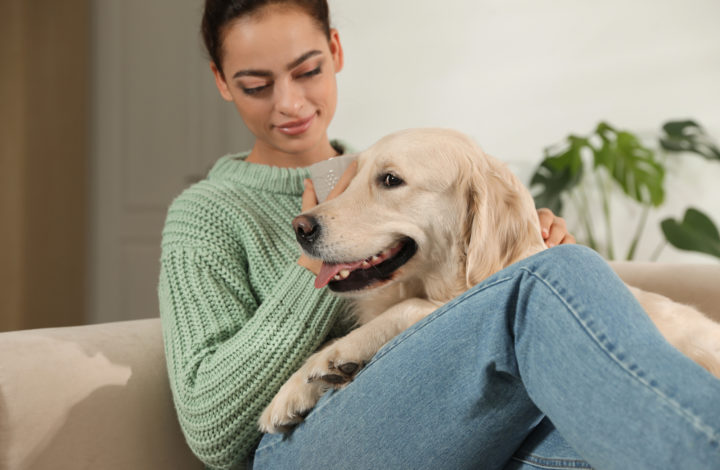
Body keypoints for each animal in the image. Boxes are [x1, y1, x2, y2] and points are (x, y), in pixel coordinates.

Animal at [258, 126, 720, 434]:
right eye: (351, 179)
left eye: (390, 180)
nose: (300, 227)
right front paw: (295, 390)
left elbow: (406, 308)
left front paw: (329, 359)